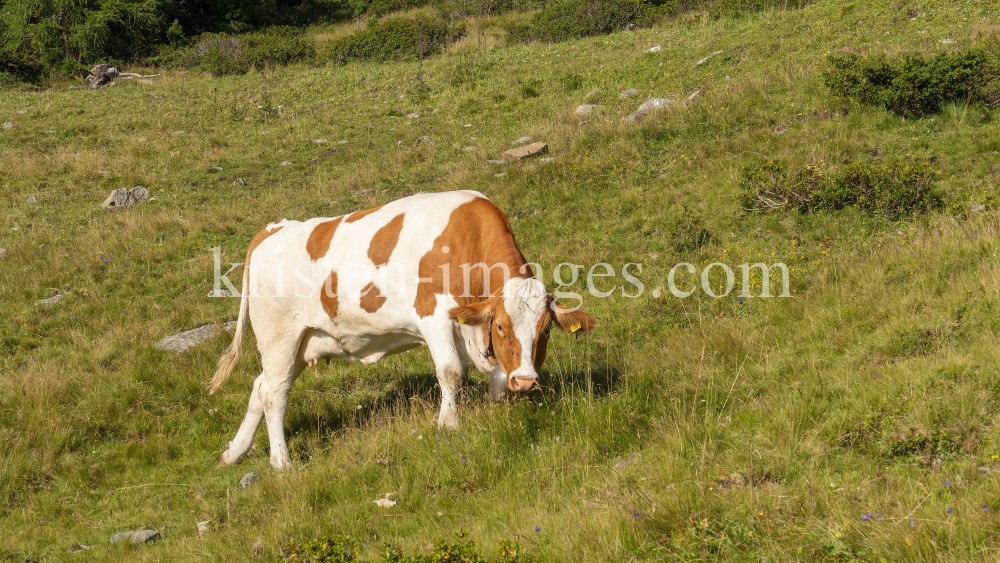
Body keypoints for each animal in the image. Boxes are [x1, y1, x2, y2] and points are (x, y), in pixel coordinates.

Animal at [210, 192, 592, 470]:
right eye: (501, 324)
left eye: (546, 330)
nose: (526, 382)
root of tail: (272, 229)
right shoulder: (433, 315)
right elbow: (451, 371)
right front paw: (448, 426)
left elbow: (497, 375)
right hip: (279, 337)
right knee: (275, 394)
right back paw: (281, 461)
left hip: (304, 344)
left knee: (260, 387)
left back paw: (234, 452)